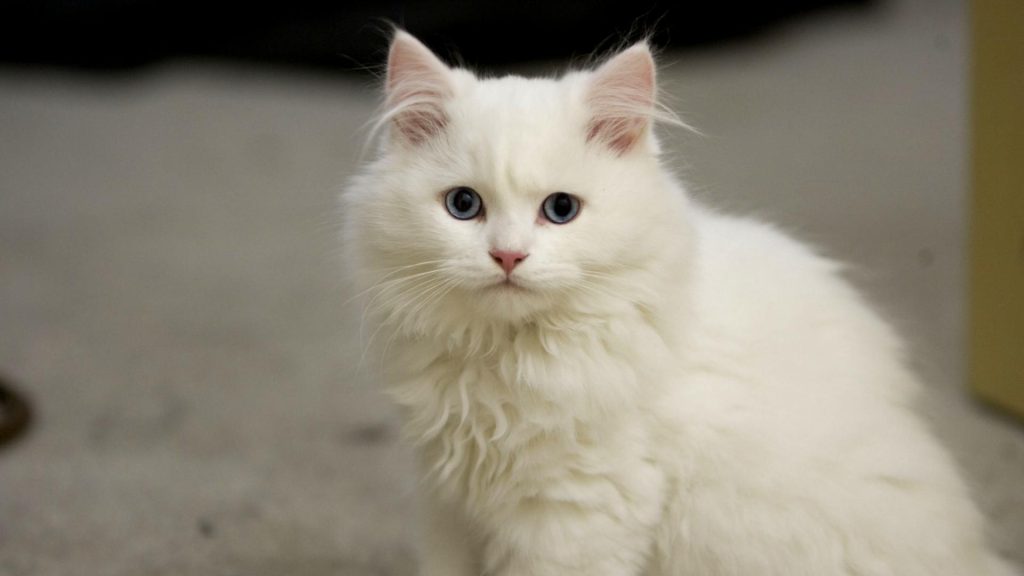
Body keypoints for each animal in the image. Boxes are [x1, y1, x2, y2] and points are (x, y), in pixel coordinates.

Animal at [342, 30, 1015, 573]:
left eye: (560, 210)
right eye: (464, 205)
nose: (508, 256)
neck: (502, 363)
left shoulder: (578, 511)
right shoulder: (448, 502)